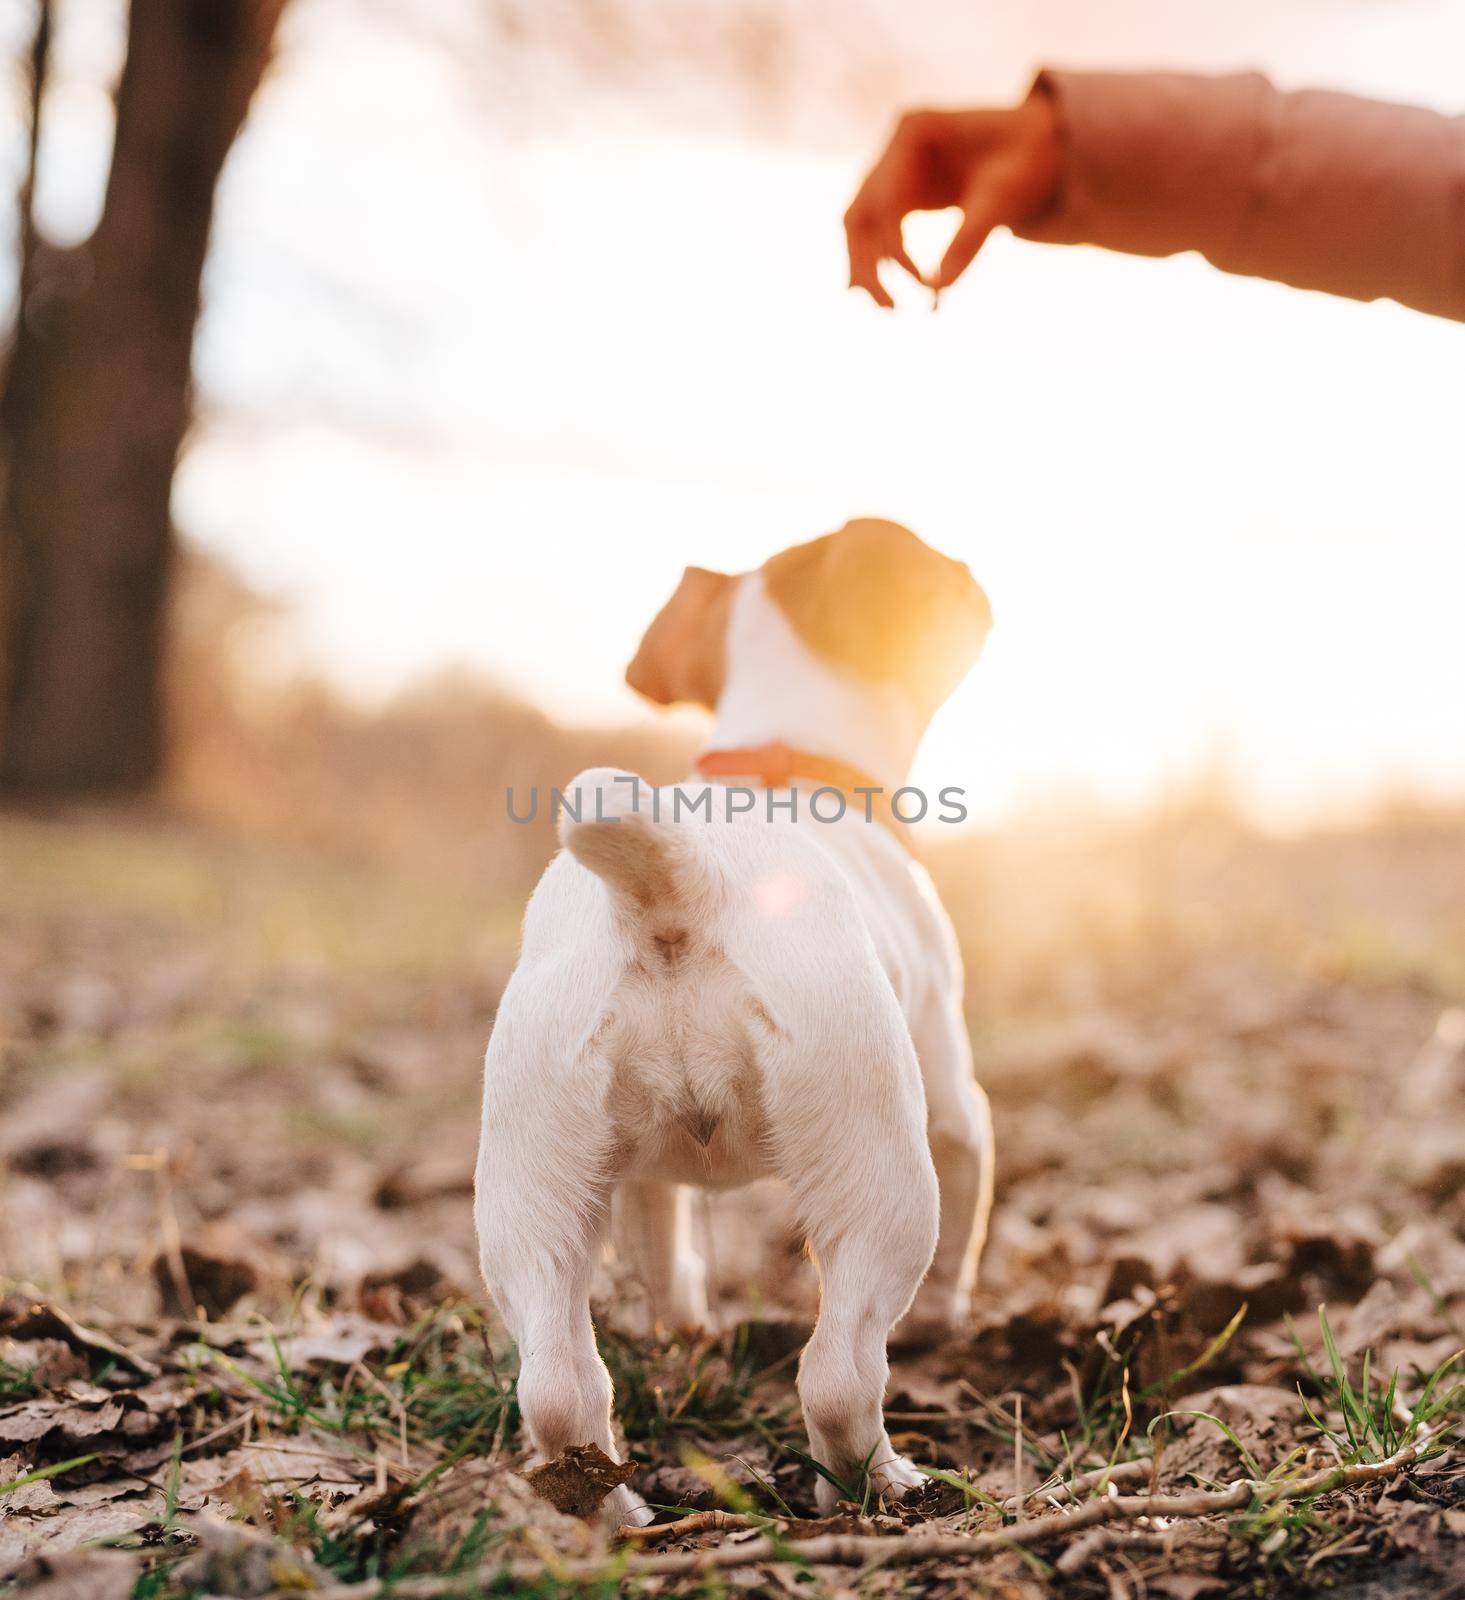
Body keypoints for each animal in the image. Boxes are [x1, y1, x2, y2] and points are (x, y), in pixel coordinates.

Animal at [476, 518, 997, 1516]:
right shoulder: (956, 1097)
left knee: (560, 1386)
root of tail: (682, 877)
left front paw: (684, 1335)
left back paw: (610, 1507)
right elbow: (969, 1213)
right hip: (883, 1182)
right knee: (836, 1374)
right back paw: (881, 1486)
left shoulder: (642, 1180)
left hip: (532, 1198)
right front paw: (949, 1323)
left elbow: (667, 1257)